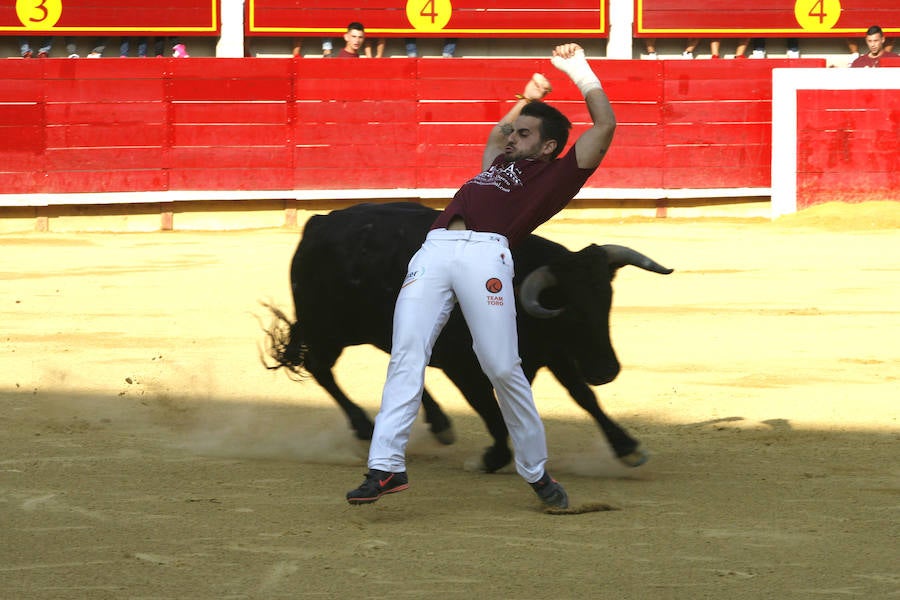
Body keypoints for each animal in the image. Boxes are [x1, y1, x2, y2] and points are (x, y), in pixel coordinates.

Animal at [264, 203, 672, 474]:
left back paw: (439, 425)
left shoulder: (554, 352)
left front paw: (627, 447)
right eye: (569, 310)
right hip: (328, 330)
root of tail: (316, 224)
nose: (607, 370)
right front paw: (493, 457)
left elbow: (583, 397)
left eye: (607, 302)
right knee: (320, 368)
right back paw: (365, 427)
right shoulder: (463, 365)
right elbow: (487, 407)